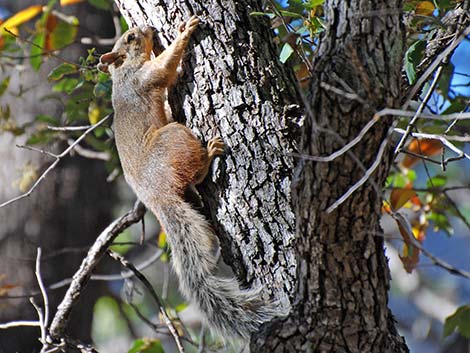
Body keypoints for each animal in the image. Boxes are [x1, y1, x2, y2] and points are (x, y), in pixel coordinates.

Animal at [97, 16, 278, 338]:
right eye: (130, 37)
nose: (147, 28)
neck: (123, 72)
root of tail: (156, 196)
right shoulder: (144, 78)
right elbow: (165, 69)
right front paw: (185, 32)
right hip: (175, 138)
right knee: (193, 167)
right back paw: (210, 154)